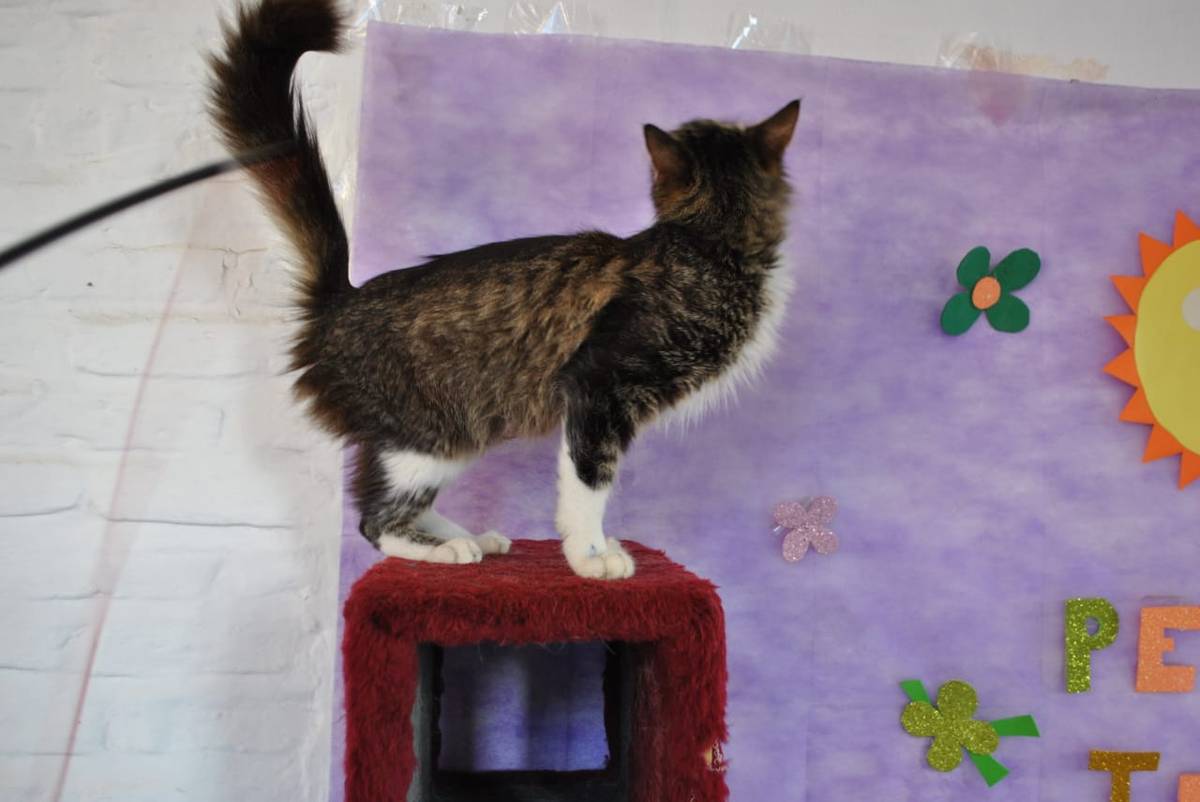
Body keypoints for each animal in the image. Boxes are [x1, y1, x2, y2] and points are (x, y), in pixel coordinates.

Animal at [208, 0, 799, 579]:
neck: (712, 244)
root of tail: (340, 299)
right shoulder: (597, 389)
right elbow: (589, 481)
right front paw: (589, 556)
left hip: (458, 434)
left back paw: (471, 538)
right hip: (424, 438)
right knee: (374, 519)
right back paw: (444, 550)